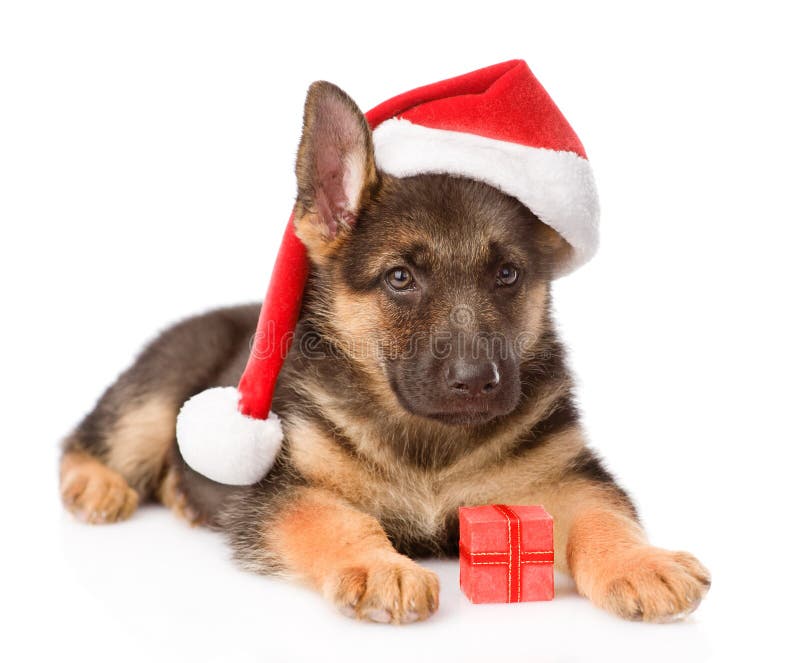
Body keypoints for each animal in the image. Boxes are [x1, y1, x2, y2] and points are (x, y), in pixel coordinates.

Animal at [62, 81, 712, 624]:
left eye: (507, 274)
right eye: (400, 278)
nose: (477, 382)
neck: (430, 442)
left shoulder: (565, 473)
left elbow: (604, 514)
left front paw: (641, 562)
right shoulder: (289, 489)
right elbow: (337, 519)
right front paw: (380, 568)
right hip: (158, 393)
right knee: (88, 438)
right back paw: (98, 486)